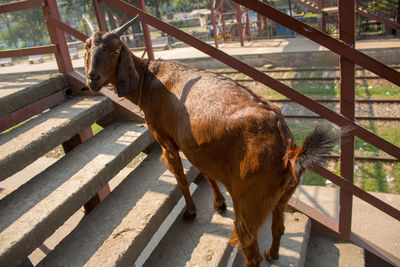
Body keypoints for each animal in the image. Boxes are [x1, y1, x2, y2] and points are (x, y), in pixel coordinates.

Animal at [84, 15, 338, 266]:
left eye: (116, 49)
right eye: (87, 46)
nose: (92, 78)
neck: (148, 79)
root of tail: (289, 151)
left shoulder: (165, 140)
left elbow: (181, 179)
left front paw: (191, 211)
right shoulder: (200, 148)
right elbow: (206, 173)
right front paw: (219, 204)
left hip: (250, 203)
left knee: (250, 249)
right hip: (283, 196)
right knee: (278, 227)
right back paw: (272, 254)